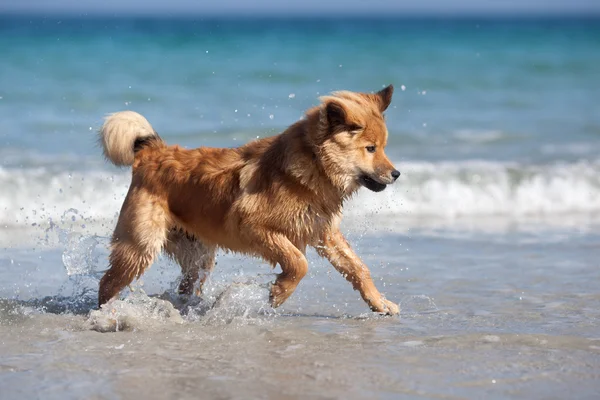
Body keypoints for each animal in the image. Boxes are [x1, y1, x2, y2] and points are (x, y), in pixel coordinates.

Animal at [97, 85, 398, 316]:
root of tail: (153, 152)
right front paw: (278, 294)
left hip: (198, 255)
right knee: (107, 283)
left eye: (383, 147)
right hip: (141, 246)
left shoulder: (324, 231)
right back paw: (107, 313)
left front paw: (380, 303)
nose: (396, 174)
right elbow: (298, 262)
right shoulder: (254, 227)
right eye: (370, 149)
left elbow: (358, 268)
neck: (312, 163)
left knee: (187, 283)